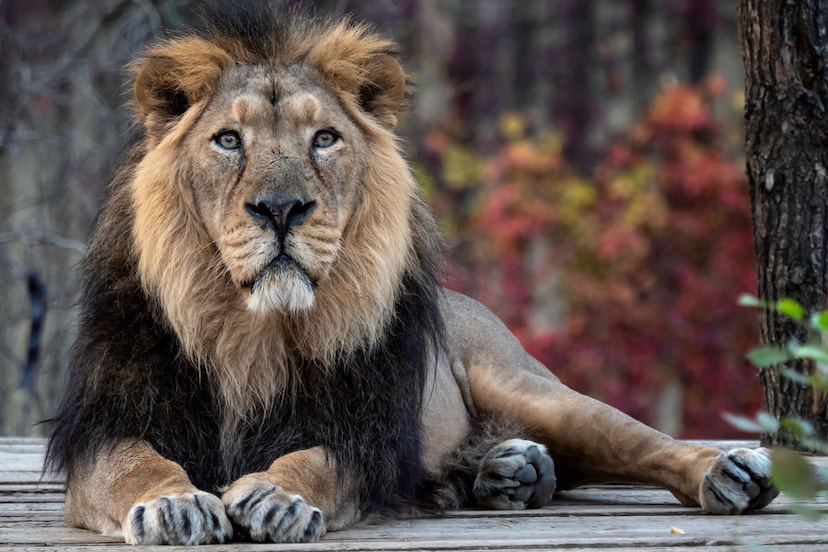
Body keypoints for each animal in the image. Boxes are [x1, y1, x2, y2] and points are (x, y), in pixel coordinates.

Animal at [46, 5, 778, 546]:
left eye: (324, 139)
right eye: (228, 140)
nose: (281, 208)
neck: (248, 331)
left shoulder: (362, 432)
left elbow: (317, 461)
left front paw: (279, 496)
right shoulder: (106, 429)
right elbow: (136, 465)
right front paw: (174, 504)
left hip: (529, 386)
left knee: (640, 442)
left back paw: (726, 470)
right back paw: (511, 472)